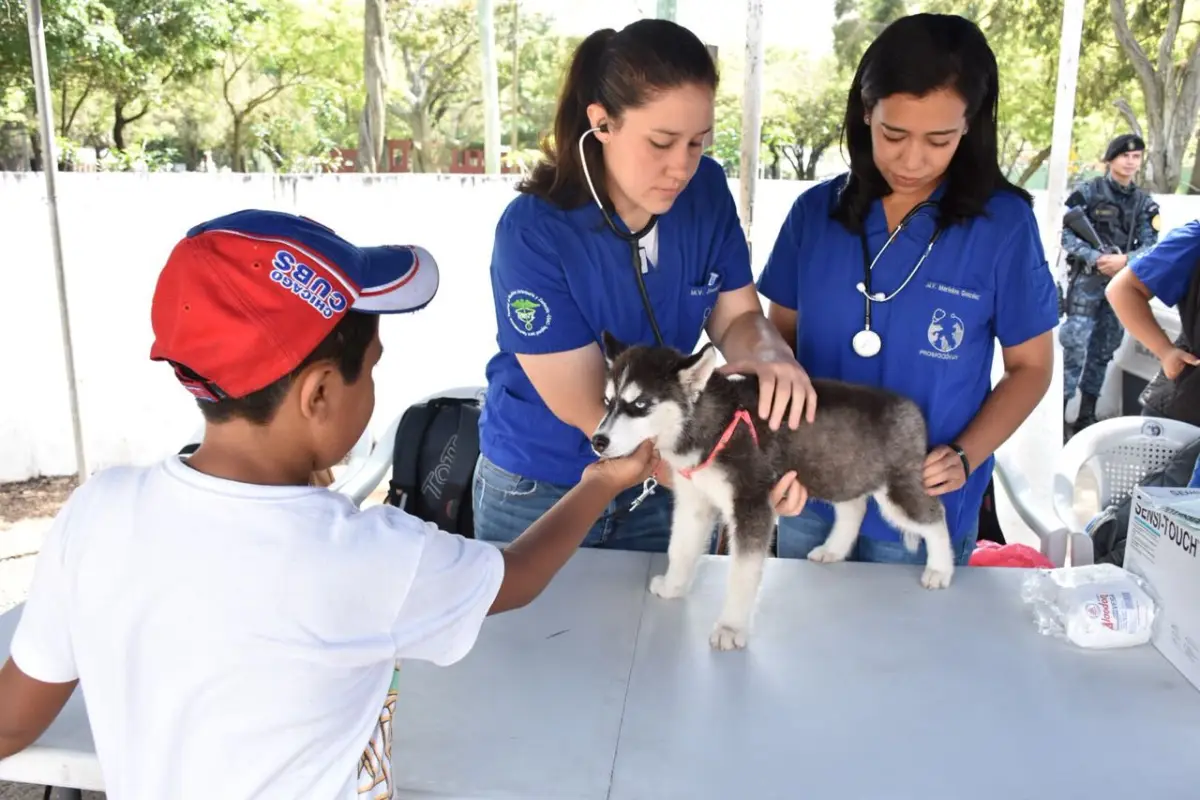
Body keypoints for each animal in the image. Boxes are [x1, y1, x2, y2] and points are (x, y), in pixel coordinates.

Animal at [592, 331, 955, 652]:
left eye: (641, 404)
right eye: (608, 401)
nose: (598, 441)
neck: (714, 423)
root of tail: (910, 408)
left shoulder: (752, 503)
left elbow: (742, 572)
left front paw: (731, 627)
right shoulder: (694, 499)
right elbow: (679, 548)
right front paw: (673, 586)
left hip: (896, 490)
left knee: (934, 515)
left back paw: (940, 569)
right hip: (840, 473)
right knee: (855, 507)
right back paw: (833, 550)